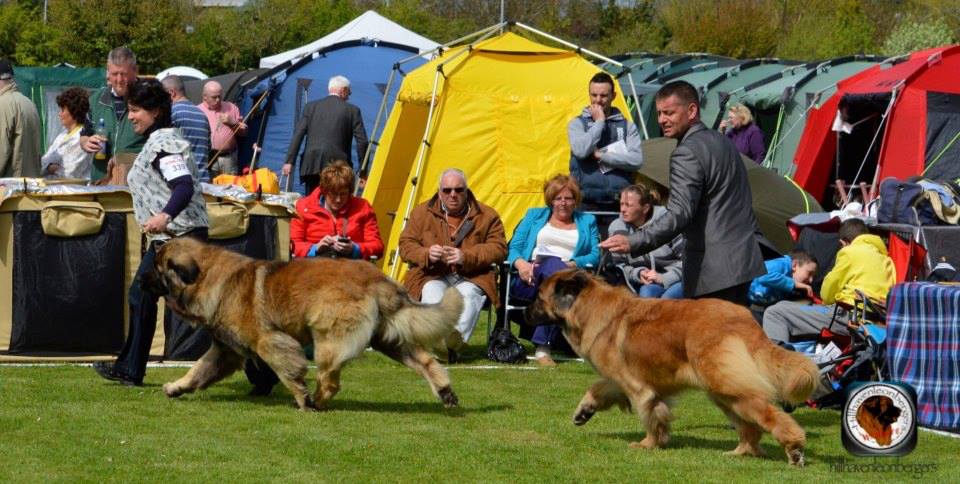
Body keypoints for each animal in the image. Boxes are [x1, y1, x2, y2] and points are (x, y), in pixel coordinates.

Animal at [143, 236, 468, 410]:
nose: (142, 279)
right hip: (388, 338)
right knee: (425, 361)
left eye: (157, 269)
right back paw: (445, 392)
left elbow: (289, 371)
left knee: (330, 381)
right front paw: (176, 387)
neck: (211, 279)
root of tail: (377, 279)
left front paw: (301, 395)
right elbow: (198, 370)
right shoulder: (226, 350)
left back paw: (315, 402)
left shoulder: (268, 341)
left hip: (328, 339)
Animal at [524, 272, 816, 466]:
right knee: (750, 427)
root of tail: (745, 318)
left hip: (725, 385)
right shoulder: (622, 379)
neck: (588, 308)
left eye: (538, 297)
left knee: (768, 415)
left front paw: (648, 444)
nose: (524, 313)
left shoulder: (638, 387)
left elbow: (650, 416)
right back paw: (741, 451)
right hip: (722, 392)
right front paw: (584, 411)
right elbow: (599, 388)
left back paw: (794, 449)